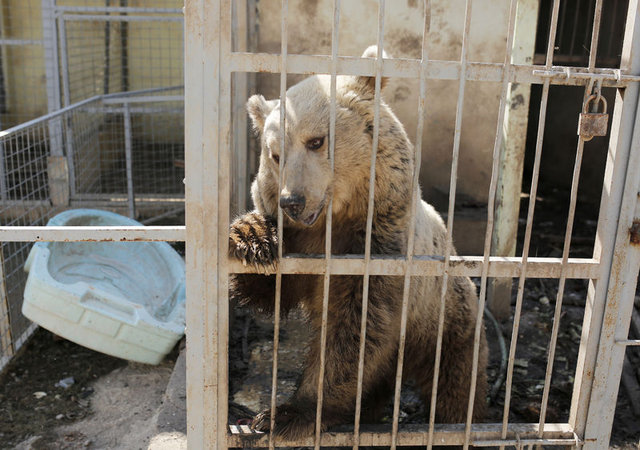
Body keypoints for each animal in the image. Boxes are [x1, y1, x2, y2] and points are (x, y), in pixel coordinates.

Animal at [230, 46, 490, 440]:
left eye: (316, 141)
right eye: (275, 154)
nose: (293, 201)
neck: (334, 219)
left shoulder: (378, 244)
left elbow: (356, 326)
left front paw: (289, 413)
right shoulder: (302, 246)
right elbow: (275, 287)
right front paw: (252, 236)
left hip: (446, 318)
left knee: (455, 381)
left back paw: (454, 420)